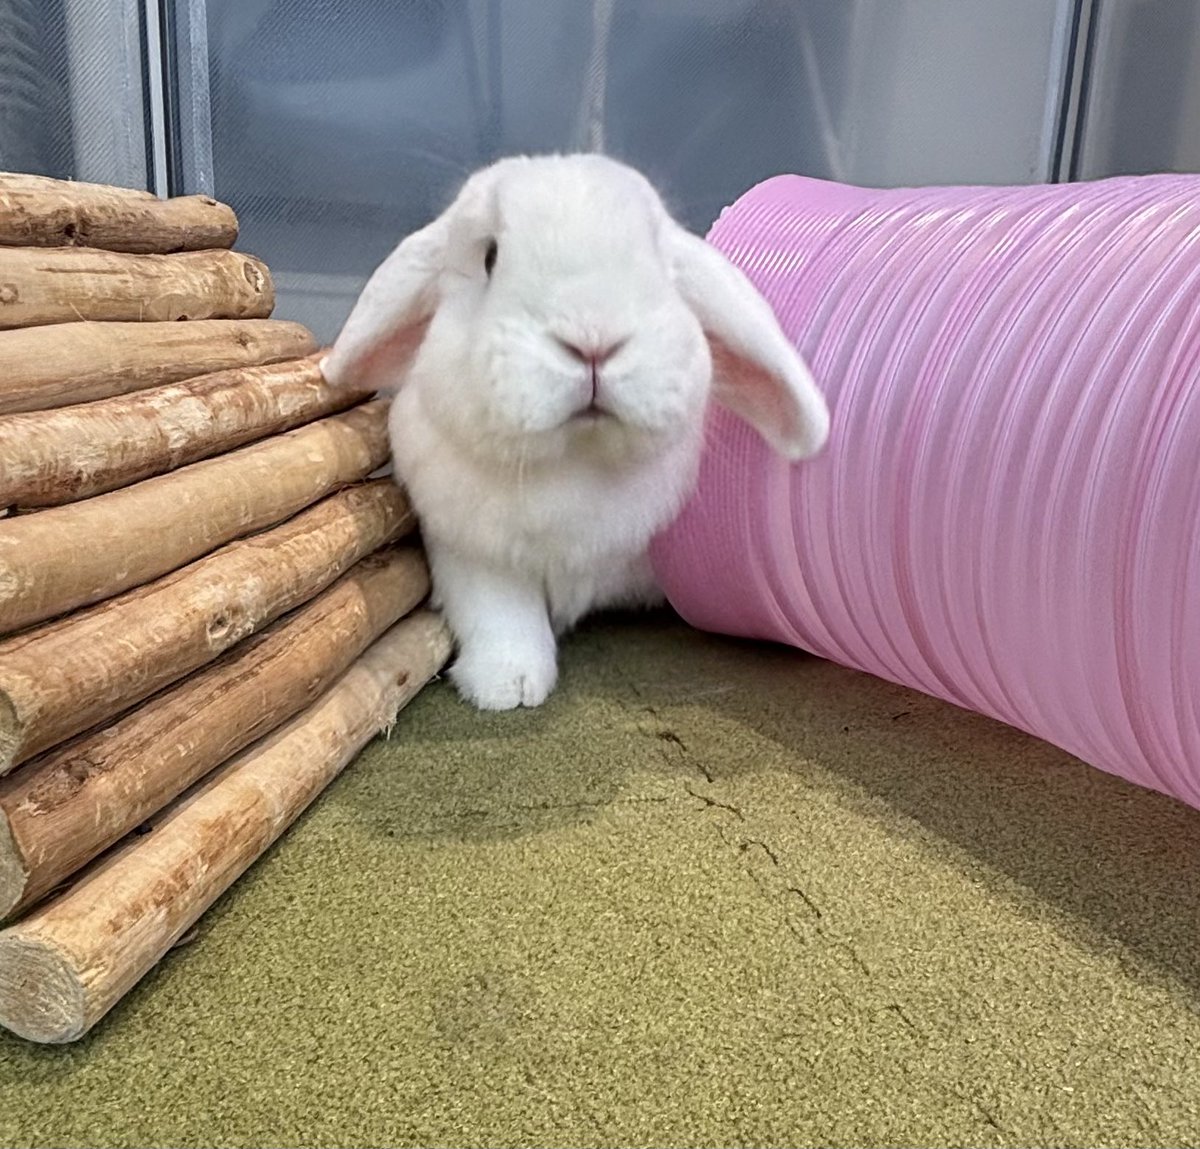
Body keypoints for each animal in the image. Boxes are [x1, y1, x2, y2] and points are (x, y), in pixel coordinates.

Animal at [320, 153, 829, 710]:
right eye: (490, 257)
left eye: (658, 257)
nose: (593, 341)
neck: (578, 462)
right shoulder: (469, 548)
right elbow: (499, 612)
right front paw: (507, 687)